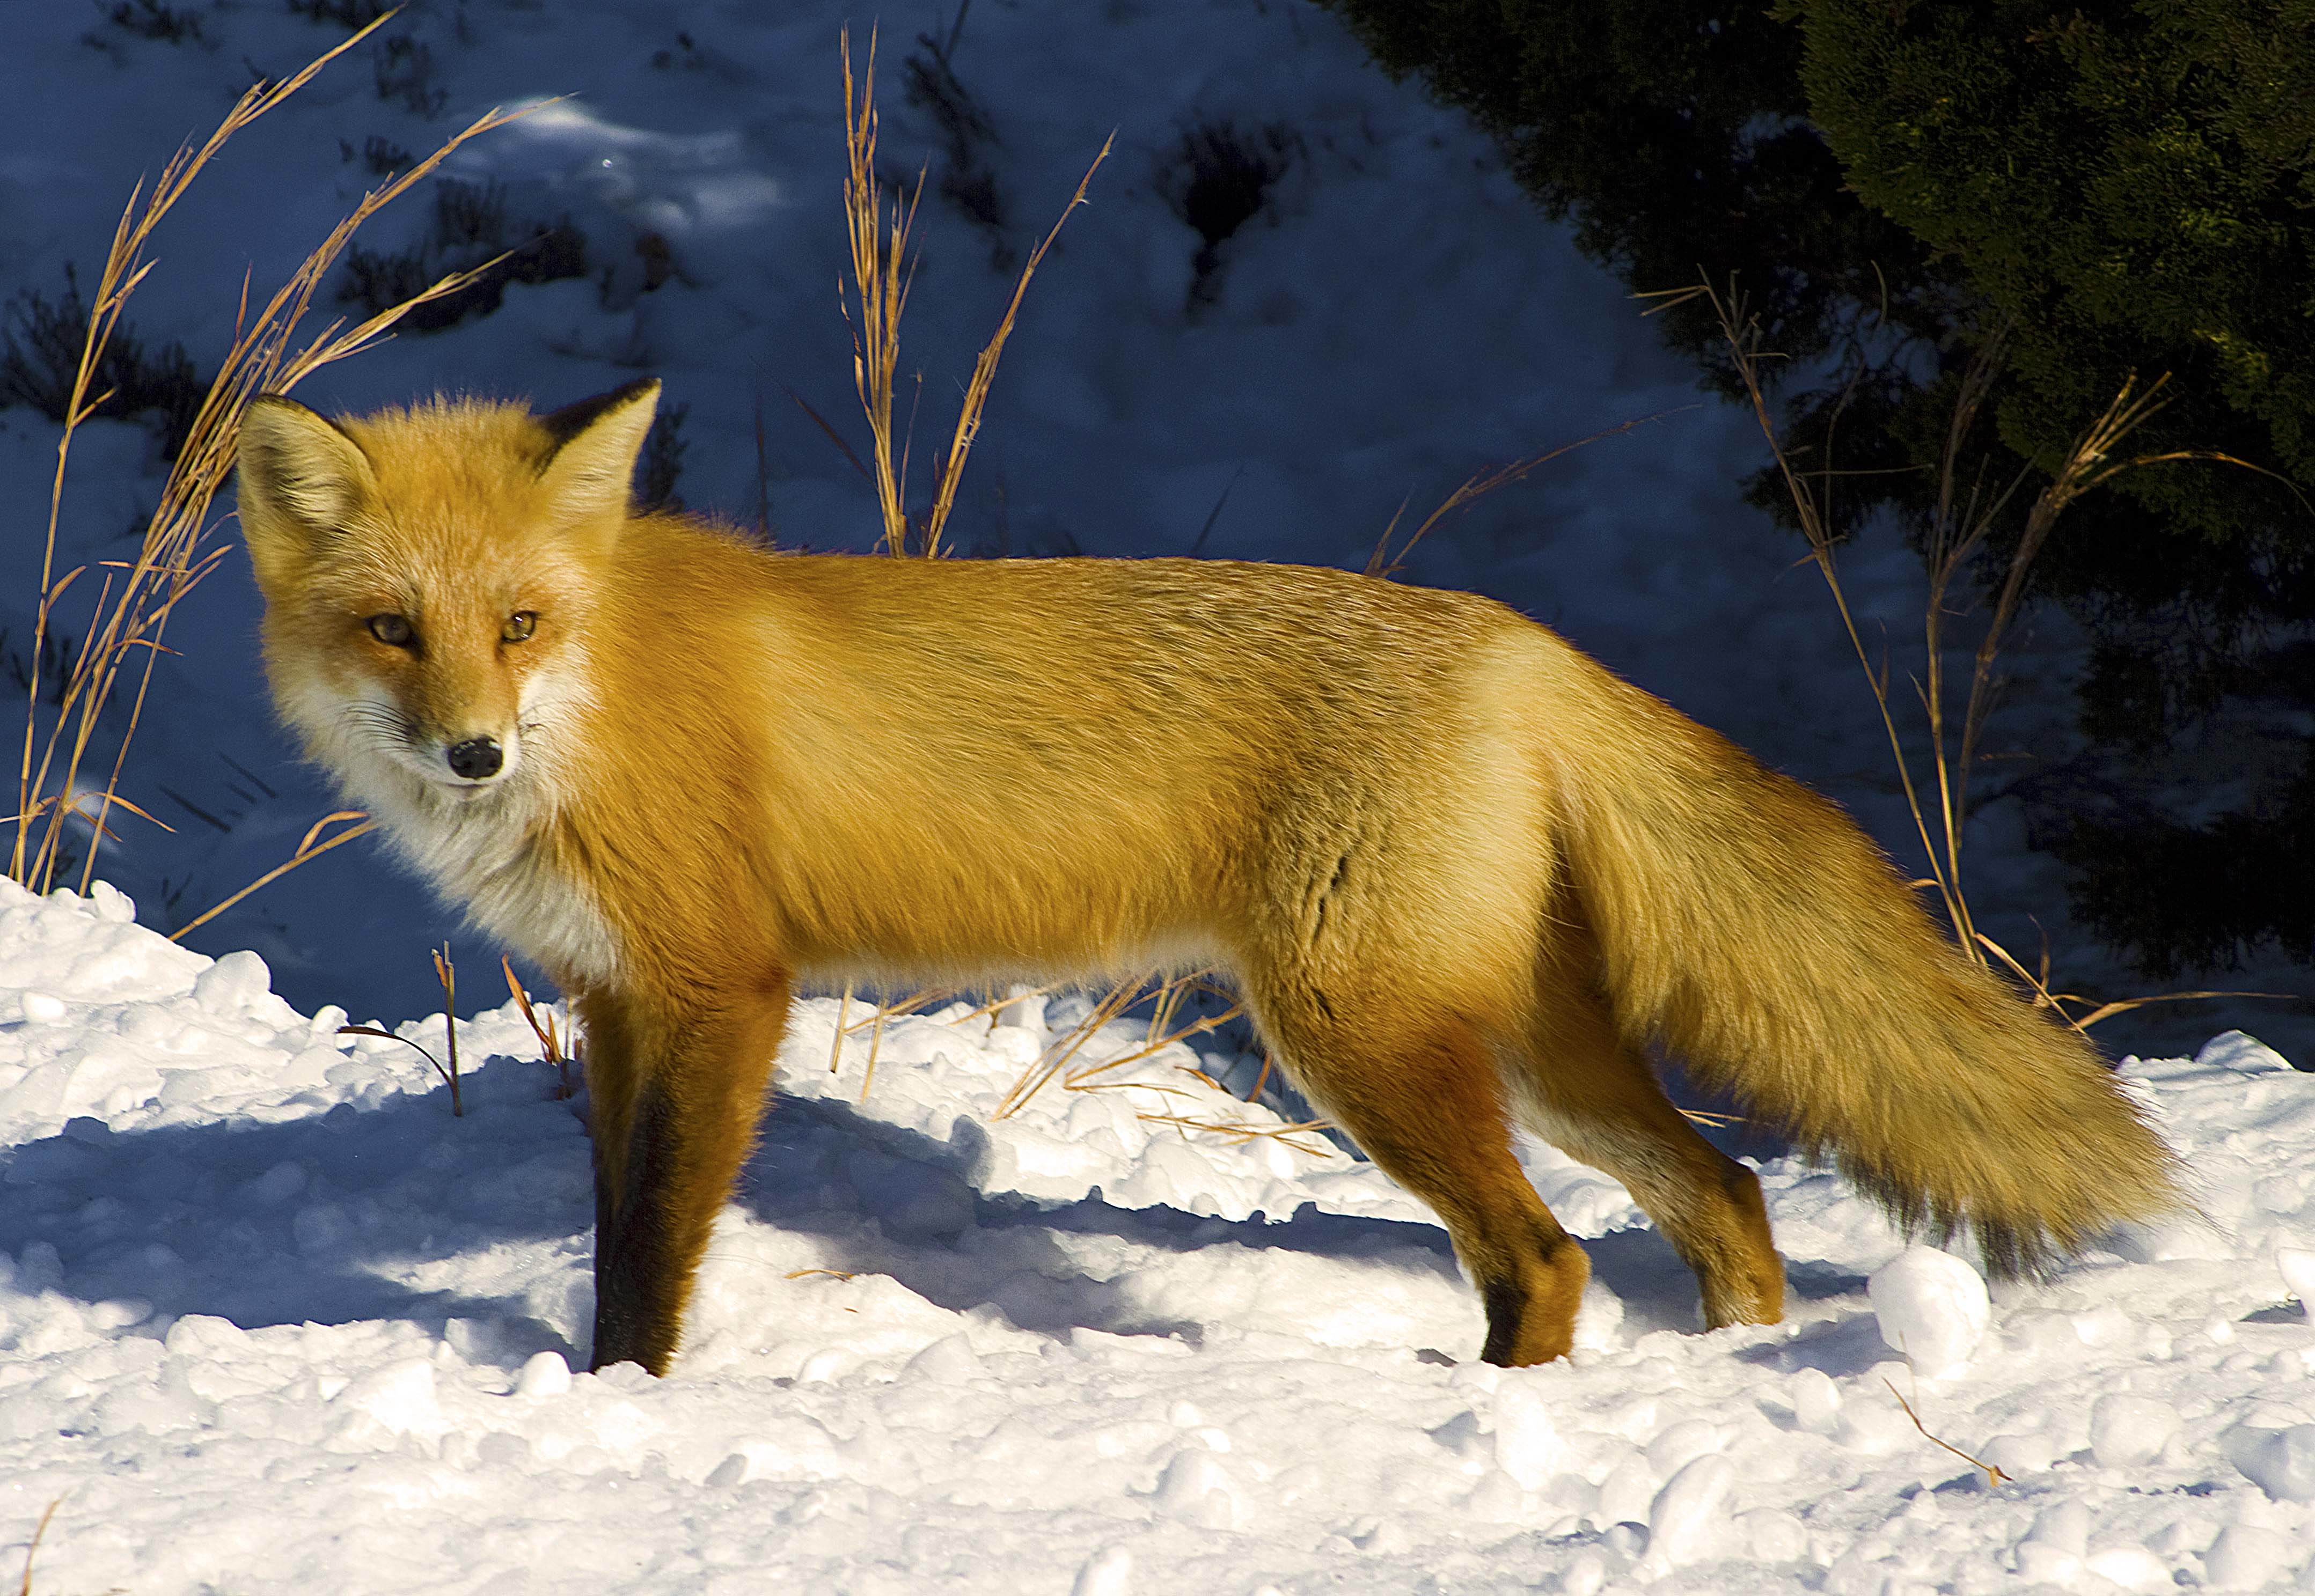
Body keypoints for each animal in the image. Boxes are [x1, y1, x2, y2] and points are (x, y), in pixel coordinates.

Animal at [239, 379, 2185, 1369]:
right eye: (395, 630)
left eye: (518, 625)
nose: (472, 753)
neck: (604, 699)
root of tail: (1514, 639)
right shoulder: (620, 996)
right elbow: (605, 1230)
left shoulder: (726, 990)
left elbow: (653, 1247)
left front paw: (629, 1399)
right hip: (1528, 1048)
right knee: (1728, 1189)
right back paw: (1721, 1377)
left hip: (1357, 1036)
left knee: (1550, 1256)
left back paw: (1508, 1418)